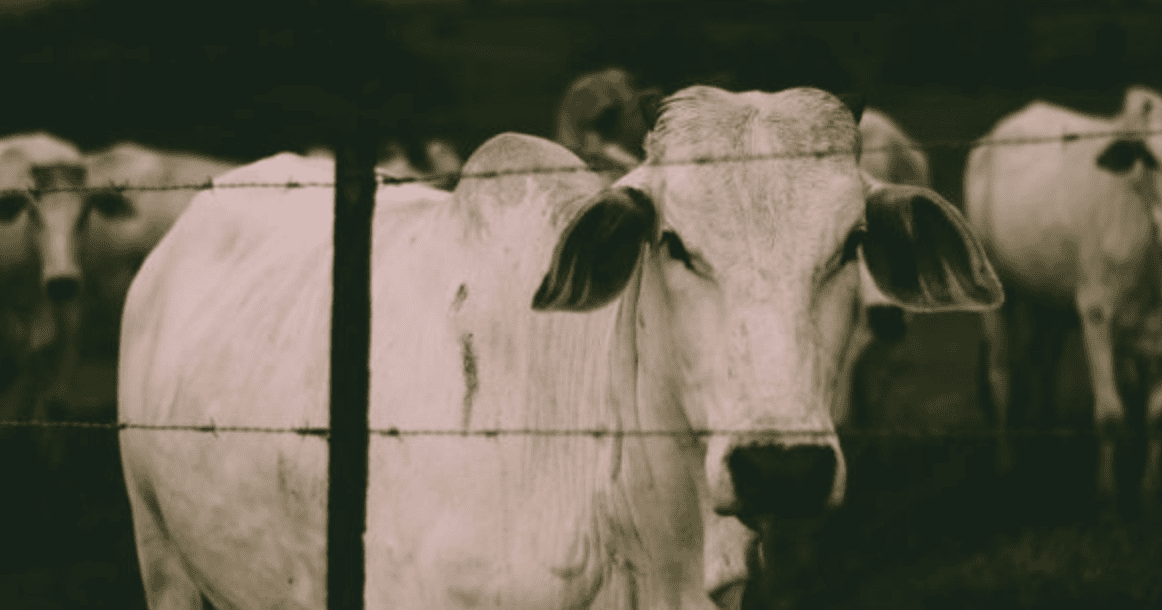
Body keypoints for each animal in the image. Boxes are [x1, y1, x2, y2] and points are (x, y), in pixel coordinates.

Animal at [966, 85, 1162, 506]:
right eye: (1150, 158)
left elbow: (1155, 417)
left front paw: (1147, 489)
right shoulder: (1095, 312)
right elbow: (1110, 414)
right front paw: (1106, 492)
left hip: (1051, 301)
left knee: (1043, 362)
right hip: (996, 296)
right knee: (1001, 373)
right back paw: (1005, 462)